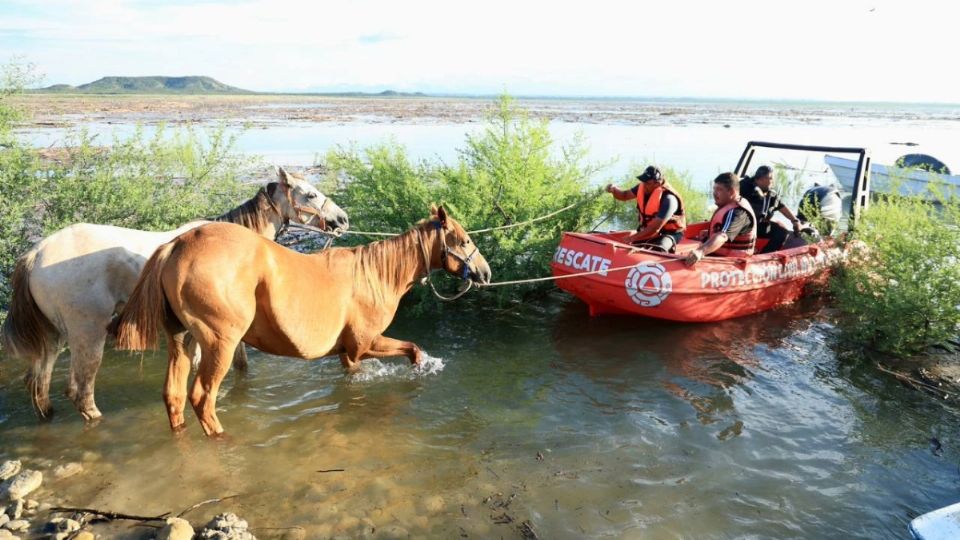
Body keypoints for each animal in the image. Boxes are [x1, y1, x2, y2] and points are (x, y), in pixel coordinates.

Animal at [0, 167, 348, 420]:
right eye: (311, 194)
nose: (342, 219)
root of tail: (36, 255)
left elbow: (231, 364)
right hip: (87, 333)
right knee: (80, 390)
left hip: (55, 335)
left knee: (39, 382)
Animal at [114, 205, 488, 436]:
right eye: (465, 239)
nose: (485, 273)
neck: (375, 274)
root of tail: (176, 244)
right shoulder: (366, 343)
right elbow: (413, 349)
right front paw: (420, 371)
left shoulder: (348, 353)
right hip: (220, 344)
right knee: (202, 399)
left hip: (182, 340)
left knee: (174, 396)